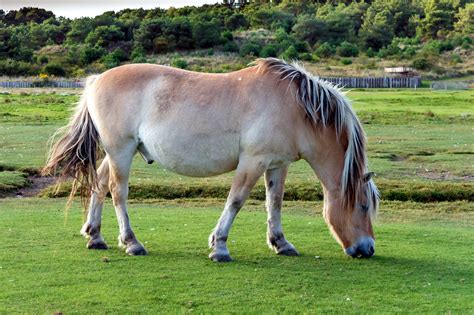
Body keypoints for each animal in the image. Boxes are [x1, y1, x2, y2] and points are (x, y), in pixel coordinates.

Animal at [42, 58, 380, 262]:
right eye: (363, 206)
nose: (368, 249)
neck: (296, 107)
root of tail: (96, 79)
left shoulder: (276, 164)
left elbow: (275, 203)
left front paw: (281, 243)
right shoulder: (252, 162)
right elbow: (236, 201)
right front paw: (220, 246)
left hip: (118, 152)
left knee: (99, 185)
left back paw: (95, 236)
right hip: (121, 150)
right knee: (118, 192)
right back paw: (132, 242)